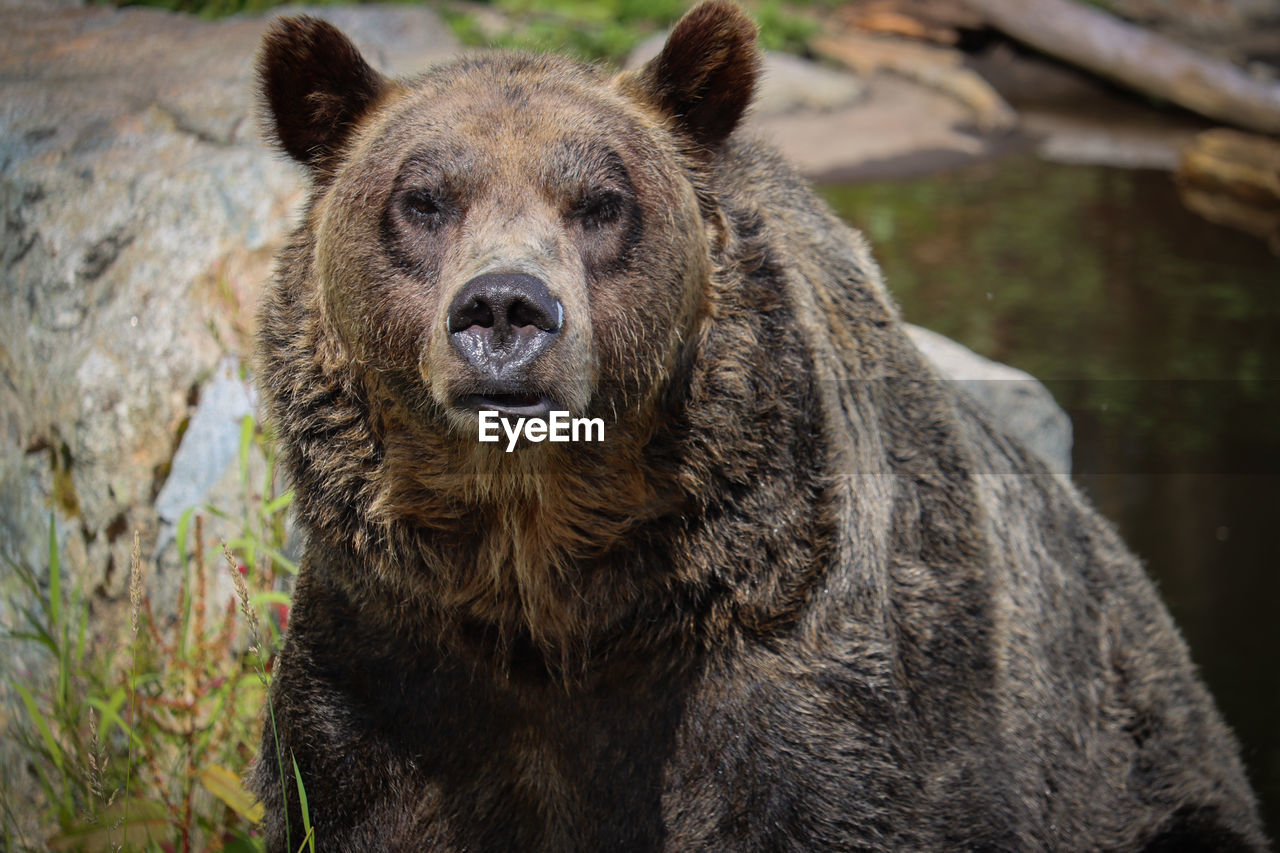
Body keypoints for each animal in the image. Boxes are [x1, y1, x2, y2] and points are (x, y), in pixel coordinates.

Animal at [252, 3, 1269, 845]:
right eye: (423, 198)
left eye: (600, 202)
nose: (505, 308)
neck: (552, 590)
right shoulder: (389, 667)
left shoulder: (794, 675)